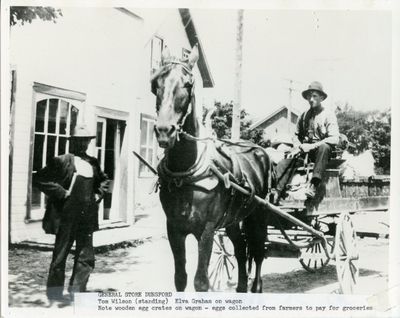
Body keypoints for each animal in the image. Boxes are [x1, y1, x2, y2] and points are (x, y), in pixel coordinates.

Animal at [152, 44, 270, 294]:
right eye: (156, 83)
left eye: (188, 84)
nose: (164, 131)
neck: (185, 174)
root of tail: (260, 151)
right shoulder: (173, 228)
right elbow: (180, 278)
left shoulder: (206, 229)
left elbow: (201, 282)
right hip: (233, 219)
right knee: (240, 248)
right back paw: (241, 287)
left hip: (259, 213)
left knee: (257, 250)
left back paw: (256, 287)